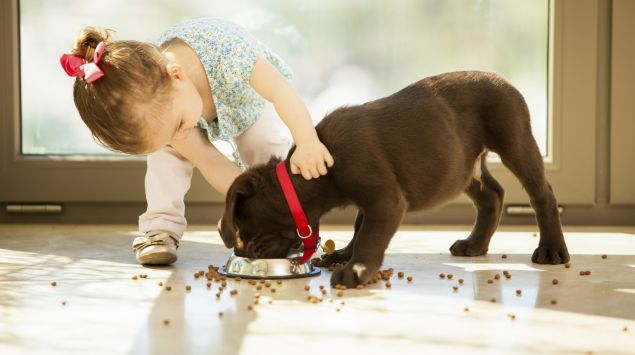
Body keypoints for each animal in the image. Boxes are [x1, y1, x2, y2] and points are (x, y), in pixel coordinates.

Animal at [219, 71, 572, 288]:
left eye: (243, 229)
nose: (242, 251)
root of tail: (502, 79)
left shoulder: (385, 198)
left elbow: (370, 234)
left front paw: (356, 270)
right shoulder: (372, 199)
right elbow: (360, 226)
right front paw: (345, 255)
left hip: (515, 140)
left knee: (542, 193)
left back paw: (551, 249)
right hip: (461, 167)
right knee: (493, 194)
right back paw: (475, 244)